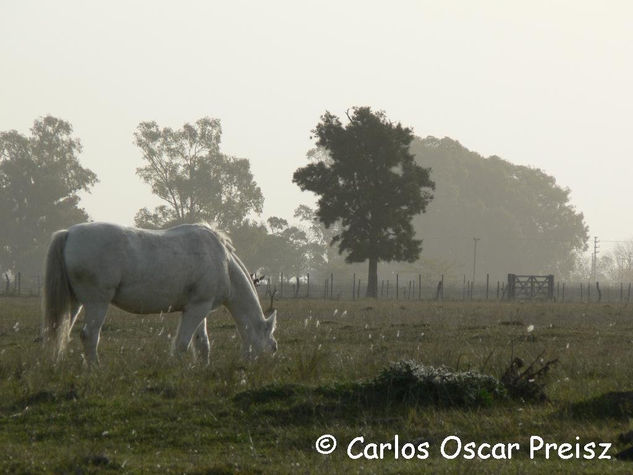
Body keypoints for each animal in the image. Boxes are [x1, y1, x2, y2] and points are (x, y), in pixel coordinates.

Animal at [40, 222, 276, 364]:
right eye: (272, 345)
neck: (223, 261)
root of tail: (69, 233)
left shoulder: (199, 308)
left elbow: (202, 343)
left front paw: (204, 368)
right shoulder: (197, 309)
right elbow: (182, 343)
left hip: (76, 302)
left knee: (61, 330)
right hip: (97, 302)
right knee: (89, 335)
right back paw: (95, 368)